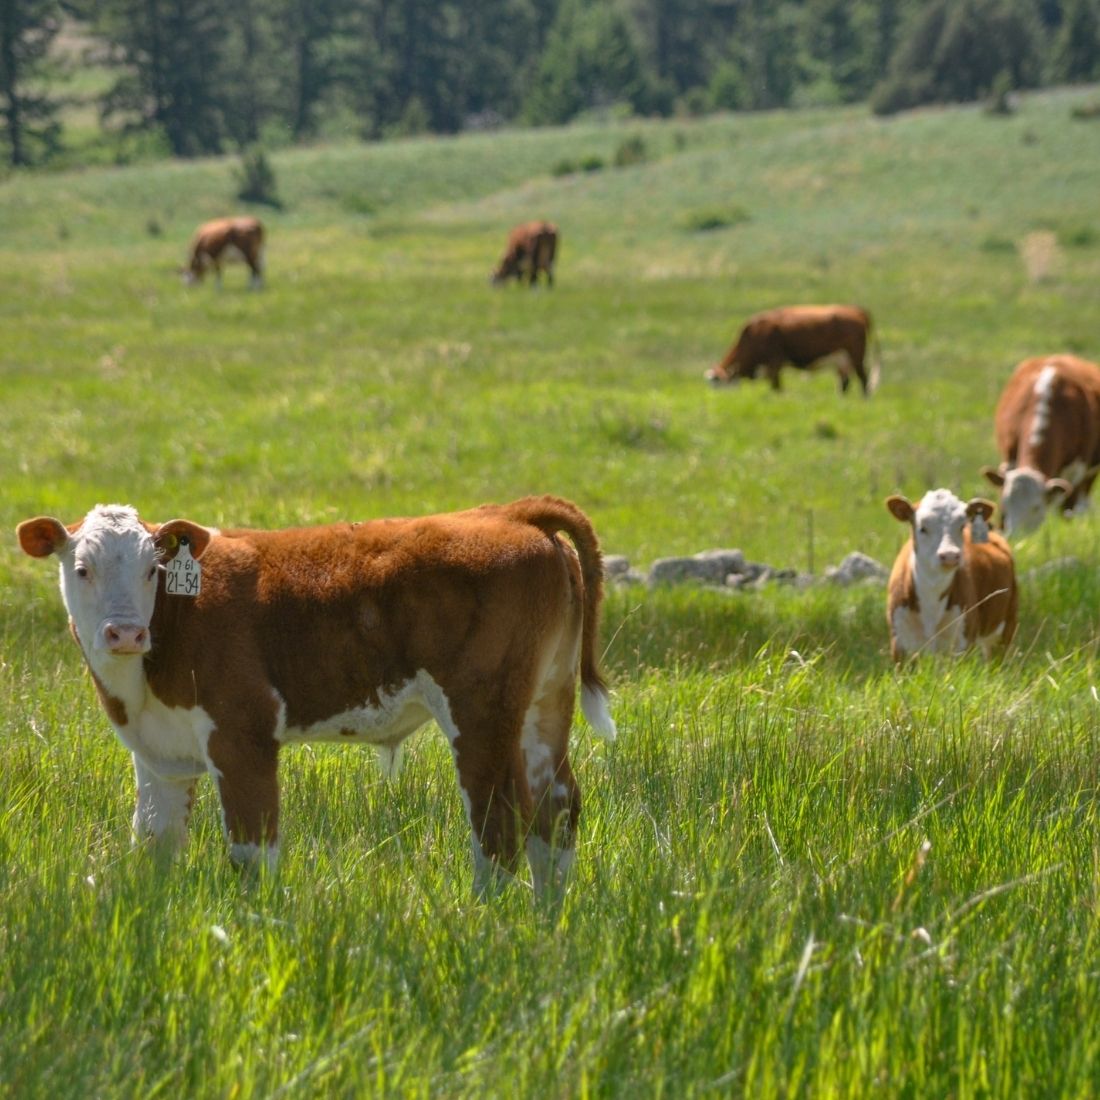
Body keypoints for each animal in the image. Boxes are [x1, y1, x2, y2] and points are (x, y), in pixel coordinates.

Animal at [17, 499, 616, 902]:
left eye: (152, 570)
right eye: (81, 569)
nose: (125, 633)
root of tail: (509, 512)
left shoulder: (243, 736)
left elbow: (252, 851)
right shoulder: (159, 754)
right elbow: (154, 844)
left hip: (482, 713)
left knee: (498, 824)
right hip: (545, 703)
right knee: (556, 811)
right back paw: (546, 922)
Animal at [708, 305, 880, 396]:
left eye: (717, 382)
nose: (714, 399)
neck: (754, 334)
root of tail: (855, 310)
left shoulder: (774, 365)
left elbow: (777, 388)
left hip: (856, 356)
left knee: (863, 379)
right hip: (841, 359)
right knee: (844, 381)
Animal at [880, 490, 1016, 660]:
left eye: (962, 526)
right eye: (922, 528)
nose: (950, 555)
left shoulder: (963, 643)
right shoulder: (899, 643)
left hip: (1006, 629)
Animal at [981, 352, 1100, 536]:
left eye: (1036, 507)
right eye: (1005, 502)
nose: (1015, 537)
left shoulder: (1076, 473)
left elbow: (1067, 513)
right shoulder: (1009, 461)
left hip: (1090, 473)